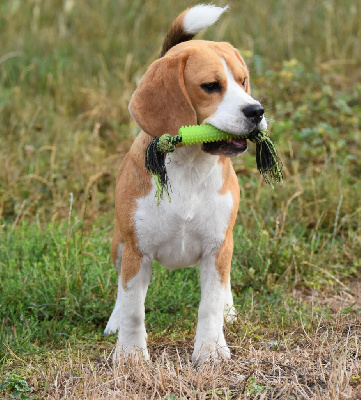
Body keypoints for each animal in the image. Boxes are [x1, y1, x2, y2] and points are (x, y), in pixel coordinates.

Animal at [105, 3, 268, 366]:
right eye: (211, 85)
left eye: (243, 81)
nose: (256, 110)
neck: (190, 168)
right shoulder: (137, 251)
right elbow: (133, 309)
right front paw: (131, 355)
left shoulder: (217, 246)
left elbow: (209, 306)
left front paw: (211, 350)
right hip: (119, 244)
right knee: (123, 293)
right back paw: (114, 322)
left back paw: (229, 311)